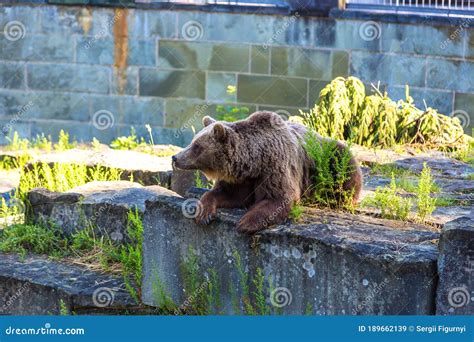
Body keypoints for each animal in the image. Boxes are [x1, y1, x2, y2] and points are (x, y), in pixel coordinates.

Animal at [172, 111, 362, 234]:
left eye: (197, 146)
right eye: (193, 141)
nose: (175, 157)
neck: (254, 163)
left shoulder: (276, 167)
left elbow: (280, 197)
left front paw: (245, 223)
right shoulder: (241, 179)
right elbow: (228, 194)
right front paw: (203, 212)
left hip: (329, 157)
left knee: (345, 166)